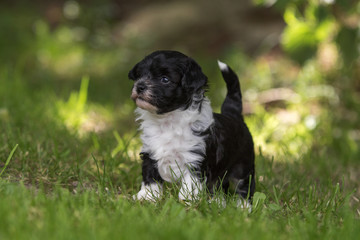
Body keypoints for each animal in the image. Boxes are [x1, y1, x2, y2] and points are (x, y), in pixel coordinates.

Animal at [129, 49, 256, 205]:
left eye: (165, 79)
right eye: (139, 75)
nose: (140, 86)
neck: (167, 121)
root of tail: (234, 116)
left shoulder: (195, 159)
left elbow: (190, 181)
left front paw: (187, 199)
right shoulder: (150, 153)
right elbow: (150, 177)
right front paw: (147, 196)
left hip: (243, 165)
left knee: (245, 186)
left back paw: (243, 206)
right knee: (219, 186)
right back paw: (217, 203)